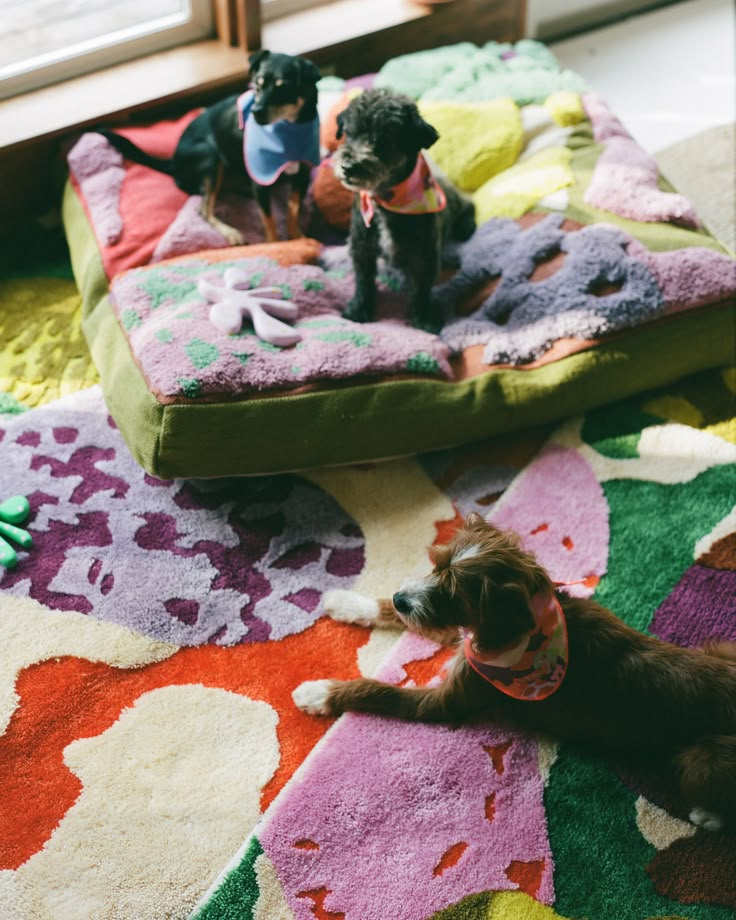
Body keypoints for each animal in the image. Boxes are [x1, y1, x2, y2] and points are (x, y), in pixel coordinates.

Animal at [294, 512, 736, 832]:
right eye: (435, 565)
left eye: (453, 595)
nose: (405, 597)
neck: (527, 627)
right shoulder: (464, 640)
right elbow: (390, 613)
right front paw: (347, 602)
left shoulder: (445, 700)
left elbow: (377, 690)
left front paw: (319, 693)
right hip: (719, 647)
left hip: (700, 759)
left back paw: (708, 815)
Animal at [332, 87, 478, 334]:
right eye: (349, 134)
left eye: (383, 140)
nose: (348, 167)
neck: (385, 200)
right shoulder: (361, 248)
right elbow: (363, 282)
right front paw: (358, 309)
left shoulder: (425, 256)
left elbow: (420, 290)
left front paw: (423, 318)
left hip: (451, 198)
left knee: (468, 203)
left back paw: (466, 225)